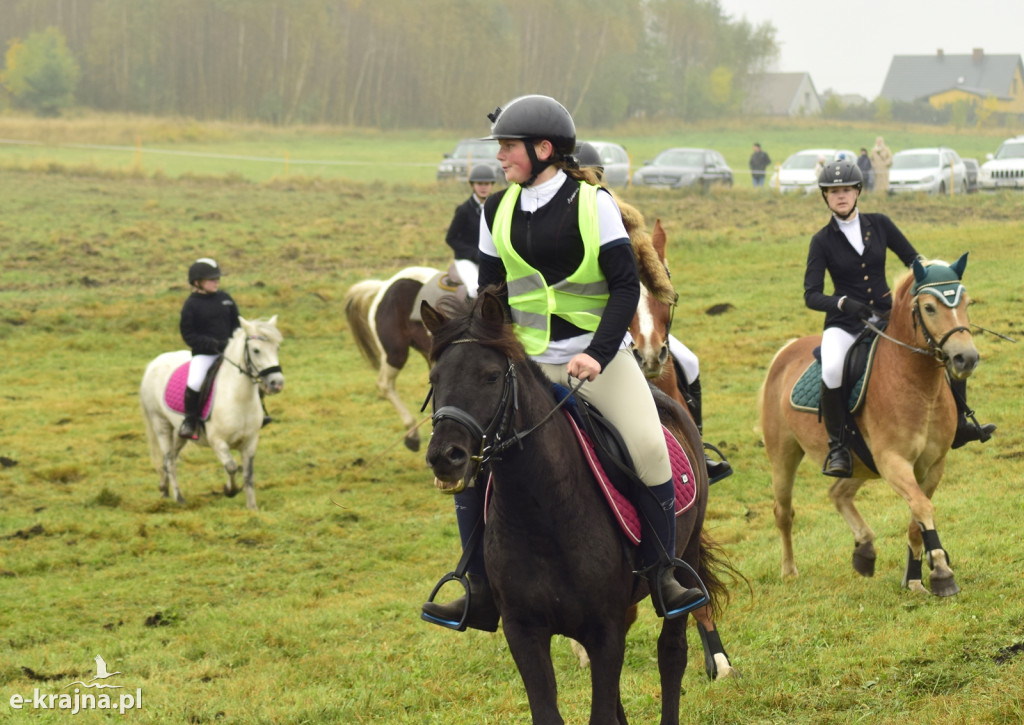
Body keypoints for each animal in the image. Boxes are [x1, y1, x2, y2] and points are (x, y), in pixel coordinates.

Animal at [139, 315, 284, 509]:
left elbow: (248, 474)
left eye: (277, 347)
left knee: (169, 458)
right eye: (256, 350)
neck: (239, 398)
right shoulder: (218, 442)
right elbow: (232, 466)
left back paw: (164, 490)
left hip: (180, 432)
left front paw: (252, 507)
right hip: (160, 424)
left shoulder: (250, 441)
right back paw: (179, 498)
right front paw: (229, 490)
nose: (277, 383)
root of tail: (154, 363)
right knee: (169, 461)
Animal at [419, 290, 733, 724]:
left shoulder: (604, 629)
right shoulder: (524, 631)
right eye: (434, 380)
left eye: (491, 376)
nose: (445, 457)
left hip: (683, 559)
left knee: (672, 654)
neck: (541, 514)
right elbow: (552, 710)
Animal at [765, 258, 978, 598]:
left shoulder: (933, 465)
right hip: (784, 454)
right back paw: (789, 571)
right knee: (783, 512)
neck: (918, 384)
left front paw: (915, 578)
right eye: (930, 307)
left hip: (861, 462)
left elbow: (917, 517)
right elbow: (923, 507)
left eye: (967, 303)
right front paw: (942, 572)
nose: (965, 358)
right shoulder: (893, 461)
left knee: (838, 492)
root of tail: (786, 351)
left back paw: (864, 550)